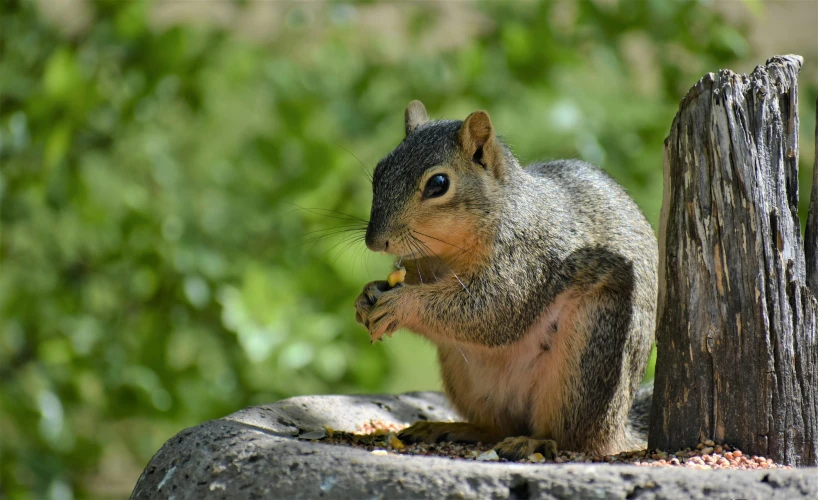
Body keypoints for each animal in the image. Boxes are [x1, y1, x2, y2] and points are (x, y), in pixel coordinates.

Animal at [352, 99, 656, 458]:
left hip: (586, 356)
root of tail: (621, 428)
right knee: (499, 427)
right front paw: (366, 296)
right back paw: (452, 428)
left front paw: (401, 304)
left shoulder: (527, 262)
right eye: (379, 171)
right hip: (464, 376)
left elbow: (492, 311)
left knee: (572, 437)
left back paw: (535, 440)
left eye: (438, 184)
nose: (375, 242)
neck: (449, 253)